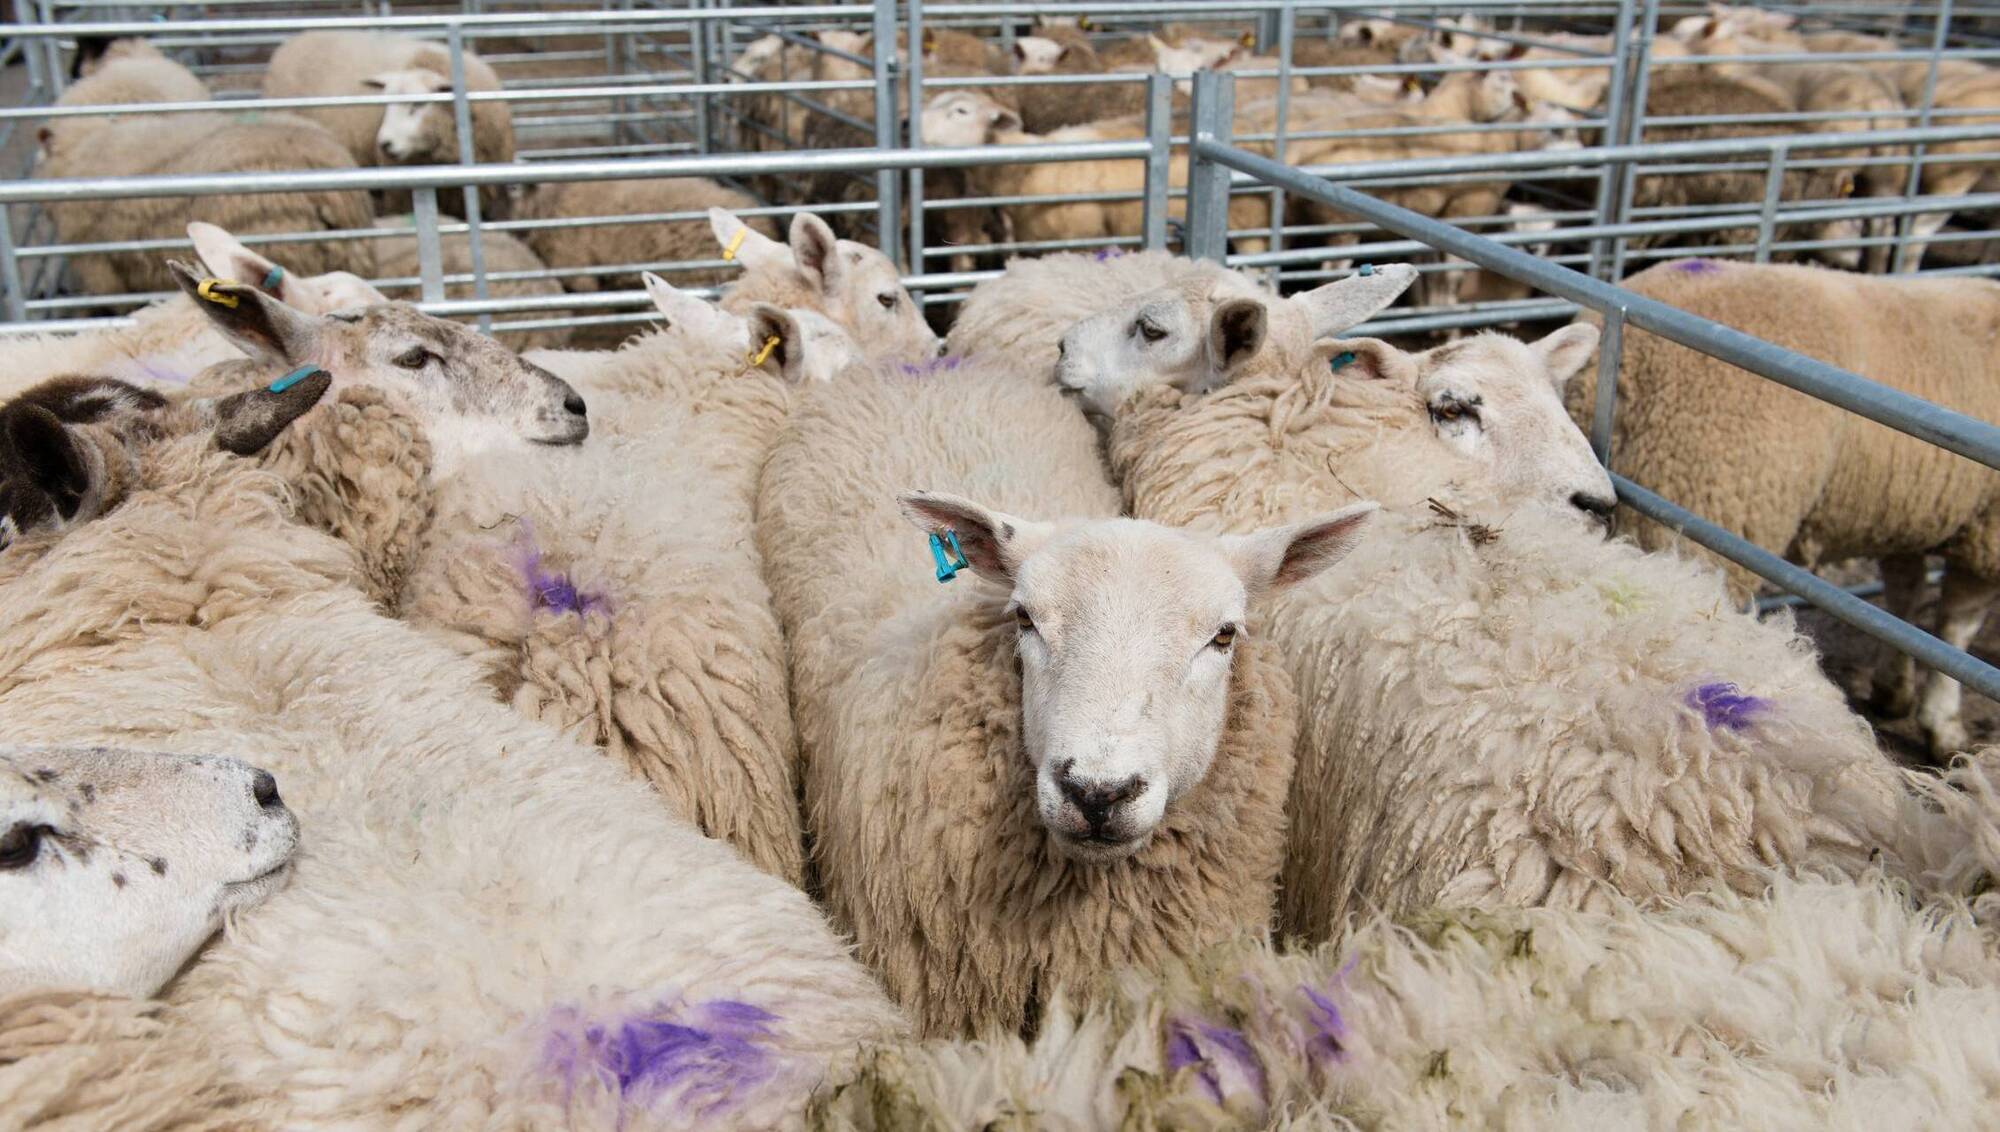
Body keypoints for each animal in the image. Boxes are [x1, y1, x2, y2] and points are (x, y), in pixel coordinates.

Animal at [1564, 257, 2000, 759]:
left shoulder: (1910, 515)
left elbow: (1904, 603)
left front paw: (1895, 691)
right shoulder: (1989, 534)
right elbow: (1955, 631)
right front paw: (1944, 725)